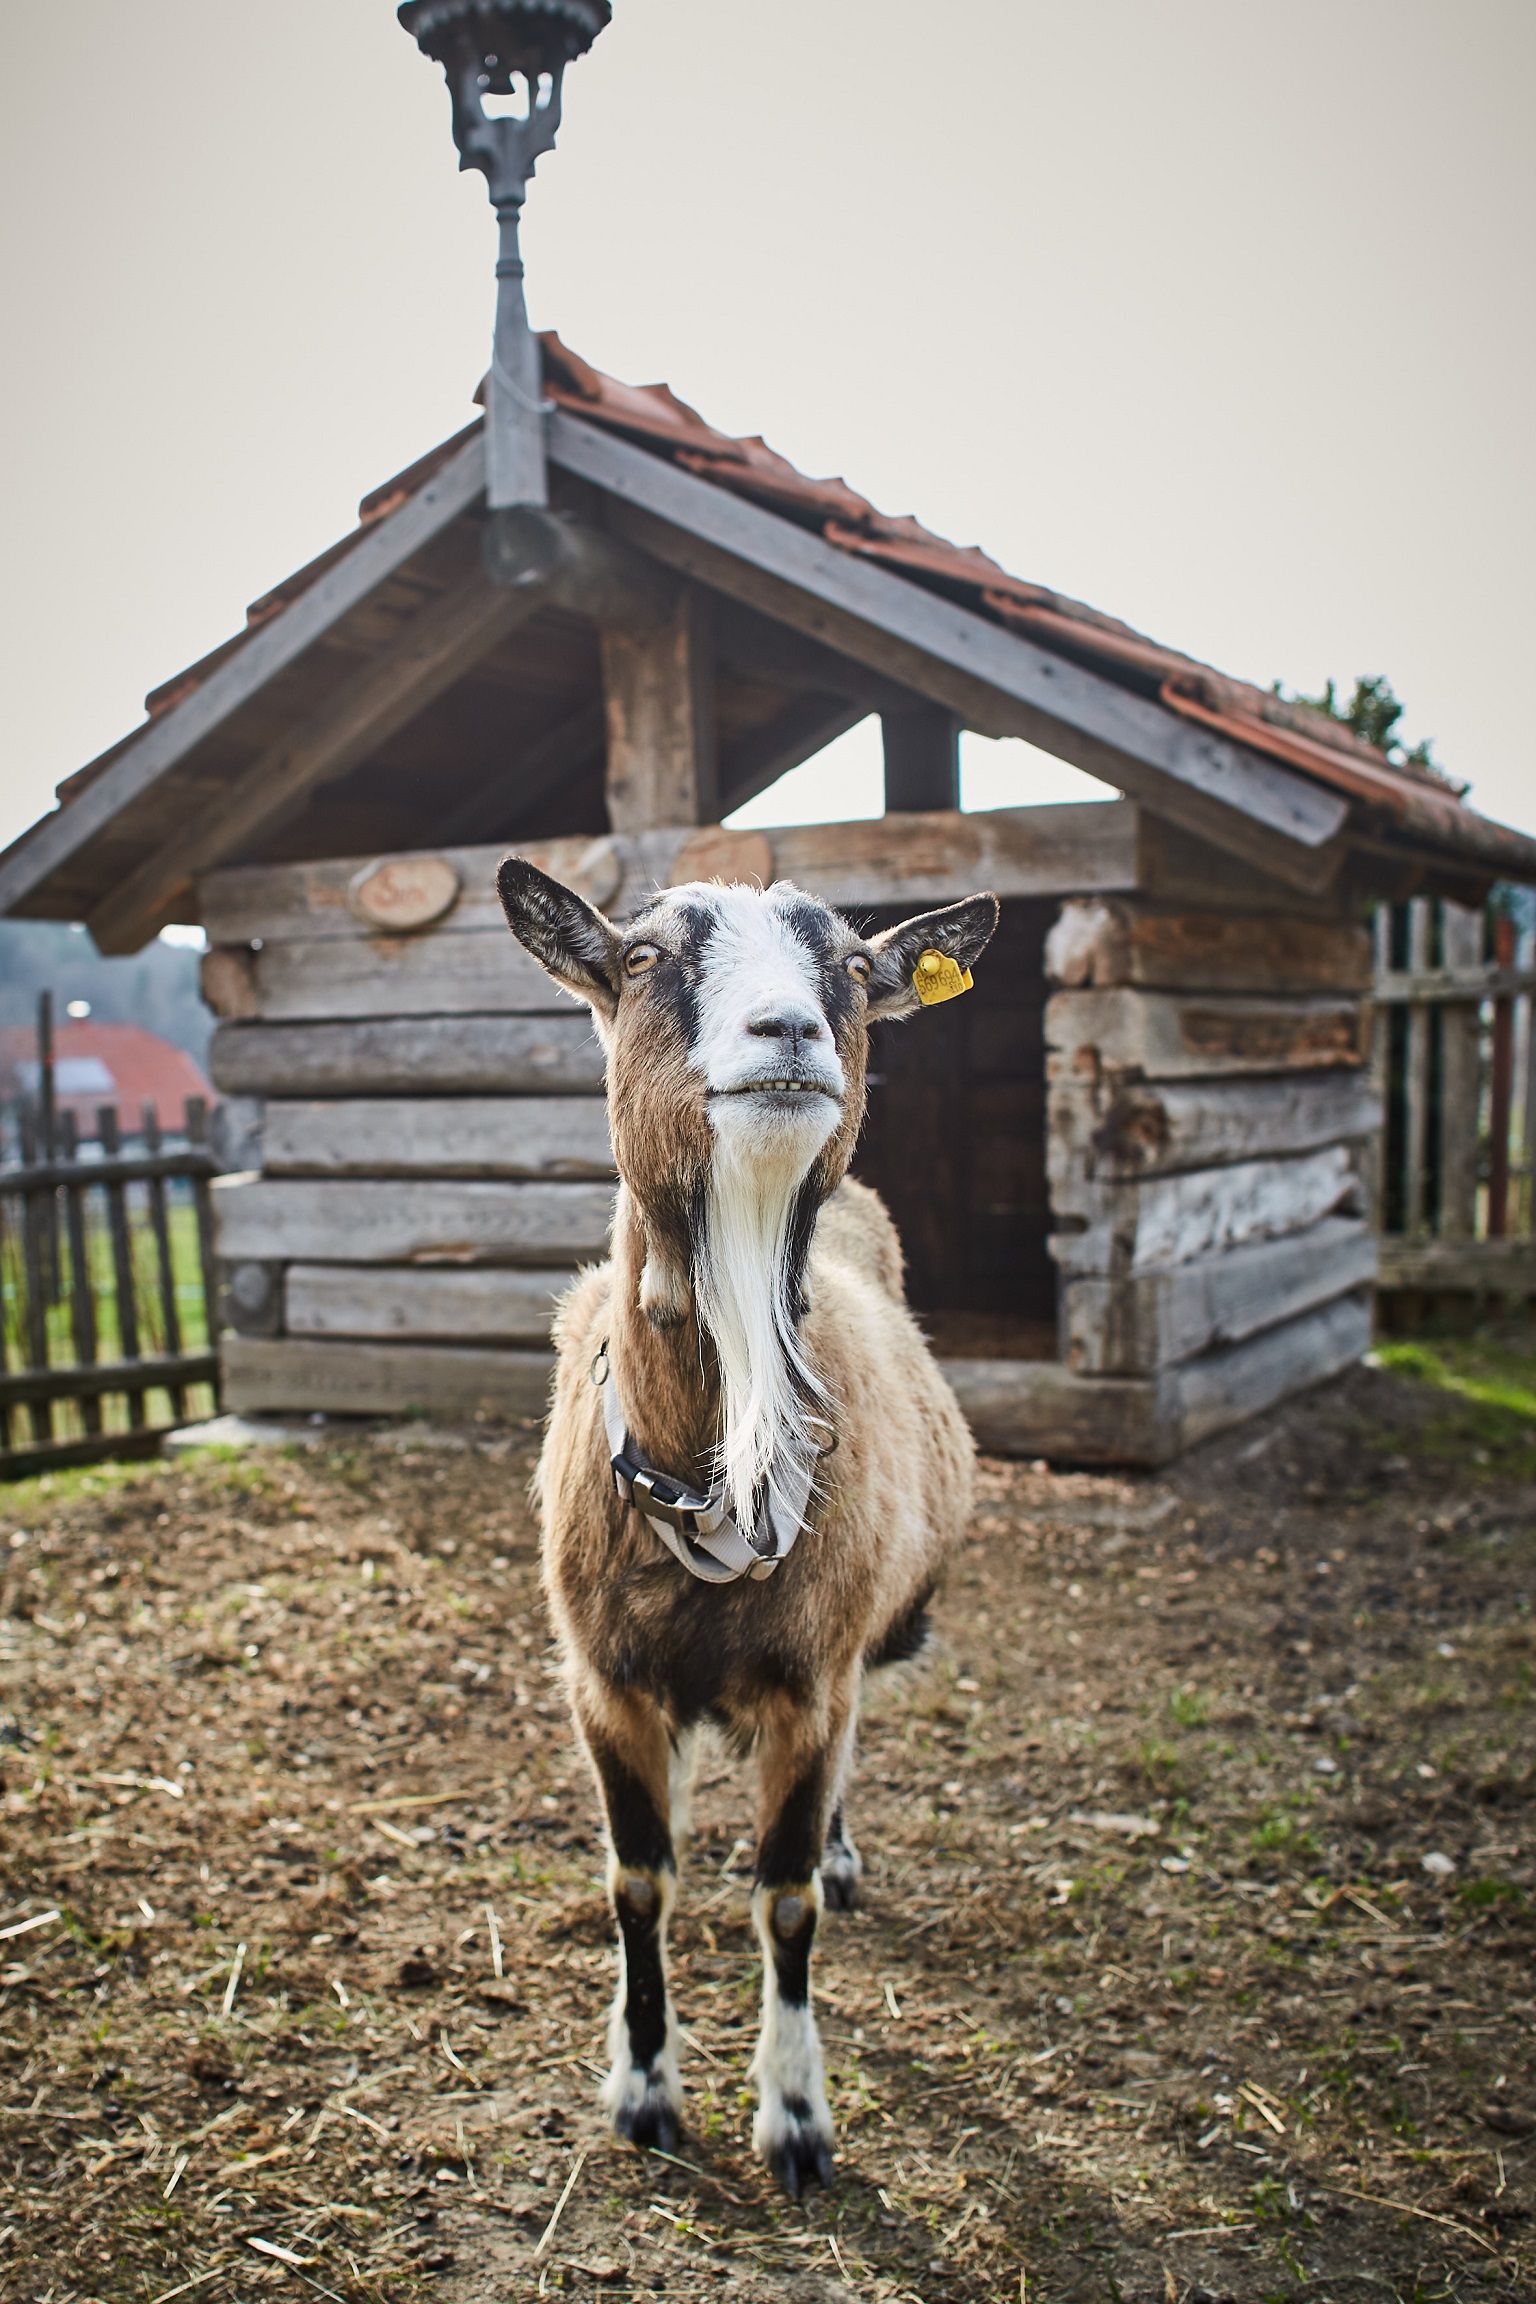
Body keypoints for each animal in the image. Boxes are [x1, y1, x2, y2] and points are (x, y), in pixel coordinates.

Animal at [497, 859, 999, 2195]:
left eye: (855, 969)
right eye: (641, 958)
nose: (789, 1032)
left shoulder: (811, 1681)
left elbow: (785, 1903)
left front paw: (796, 2118)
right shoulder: (604, 1684)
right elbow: (636, 1882)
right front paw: (644, 2094)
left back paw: (841, 1851)